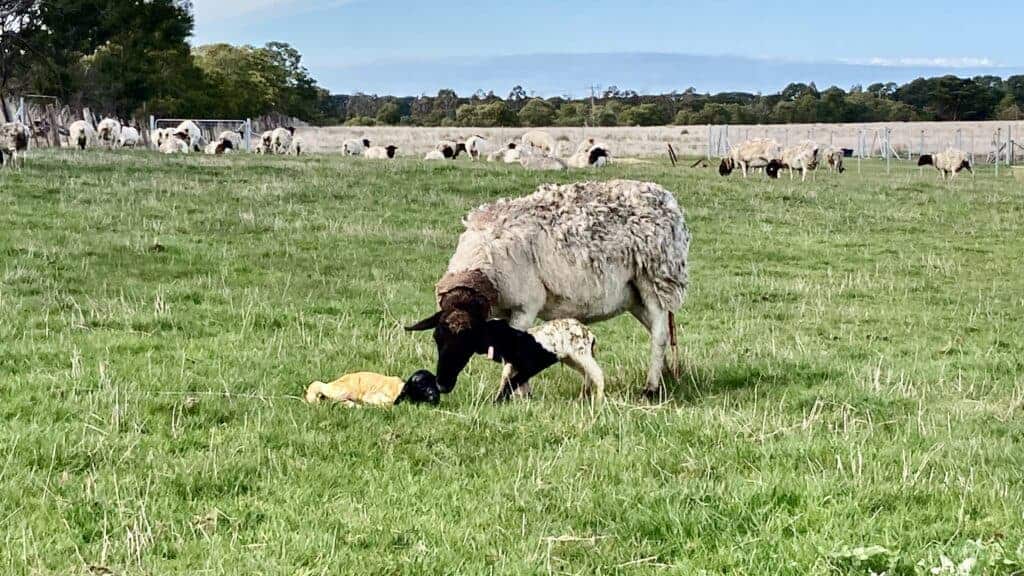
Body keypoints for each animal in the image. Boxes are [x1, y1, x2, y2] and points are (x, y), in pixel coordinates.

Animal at [405, 179, 688, 399]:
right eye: (437, 338)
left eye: (470, 339)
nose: (442, 385)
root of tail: (668, 199)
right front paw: (522, 393)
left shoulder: (525, 307)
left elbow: (514, 351)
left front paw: (511, 393)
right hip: (632, 295)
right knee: (659, 330)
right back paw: (666, 376)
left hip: (655, 278)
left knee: (659, 332)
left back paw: (651, 387)